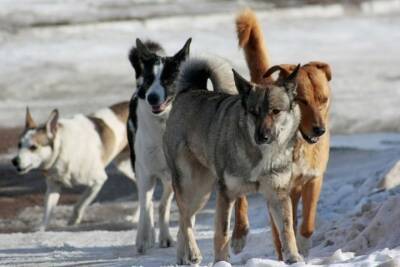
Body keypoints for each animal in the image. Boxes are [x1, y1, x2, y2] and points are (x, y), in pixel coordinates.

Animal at [126, 37, 192, 253]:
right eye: (149, 80)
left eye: (168, 80)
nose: (152, 97)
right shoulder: (145, 173)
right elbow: (146, 207)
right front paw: (143, 239)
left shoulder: (178, 176)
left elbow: (165, 207)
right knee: (146, 204)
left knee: (163, 204)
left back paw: (163, 236)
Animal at [163, 57, 304, 264]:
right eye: (254, 112)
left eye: (276, 111)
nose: (262, 136)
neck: (260, 156)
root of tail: (189, 90)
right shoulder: (226, 193)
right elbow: (222, 234)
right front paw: (221, 262)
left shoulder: (278, 194)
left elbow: (287, 231)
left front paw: (294, 258)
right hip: (190, 185)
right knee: (185, 217)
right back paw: (193, 253)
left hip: (202, 193)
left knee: (184, 220)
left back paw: (184, 257)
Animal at [231, 8, 332, 260]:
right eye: (302, 101)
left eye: (323, 99)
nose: (320, 130)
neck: (297, 144)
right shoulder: (276, 188)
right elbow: (280, 233)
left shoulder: (313, 179)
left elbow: (307, 223)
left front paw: (303, 246)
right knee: (240, 199)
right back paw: (239, 234)